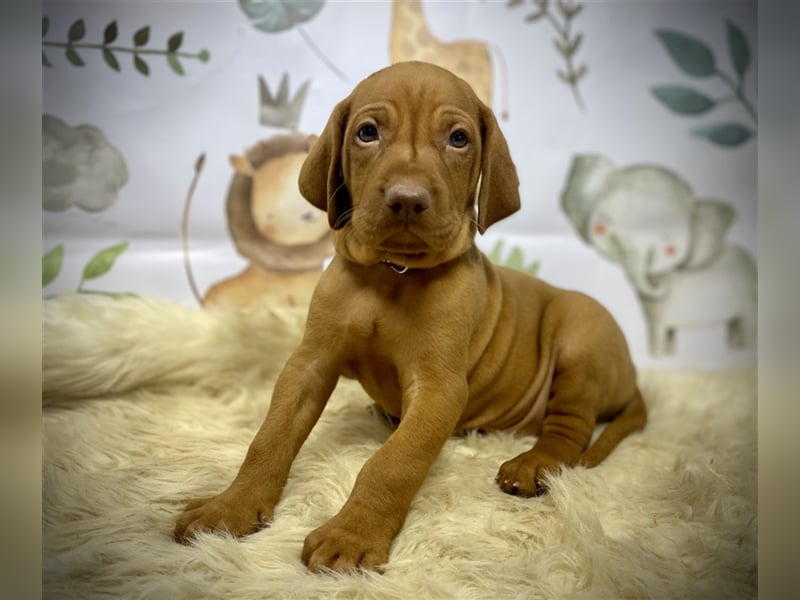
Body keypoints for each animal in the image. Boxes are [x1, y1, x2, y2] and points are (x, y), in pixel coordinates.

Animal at [173, 61, 644, 572]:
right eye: (367, 133)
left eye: (458, 139)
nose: (406, 199)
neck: (391, 274)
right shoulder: (309, 363)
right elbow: (270, 436)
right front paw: (230, 508)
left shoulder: (438, 388)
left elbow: (393, 462)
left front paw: (352, 533)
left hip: (581, 334)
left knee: (570, 430)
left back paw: (533, 464)